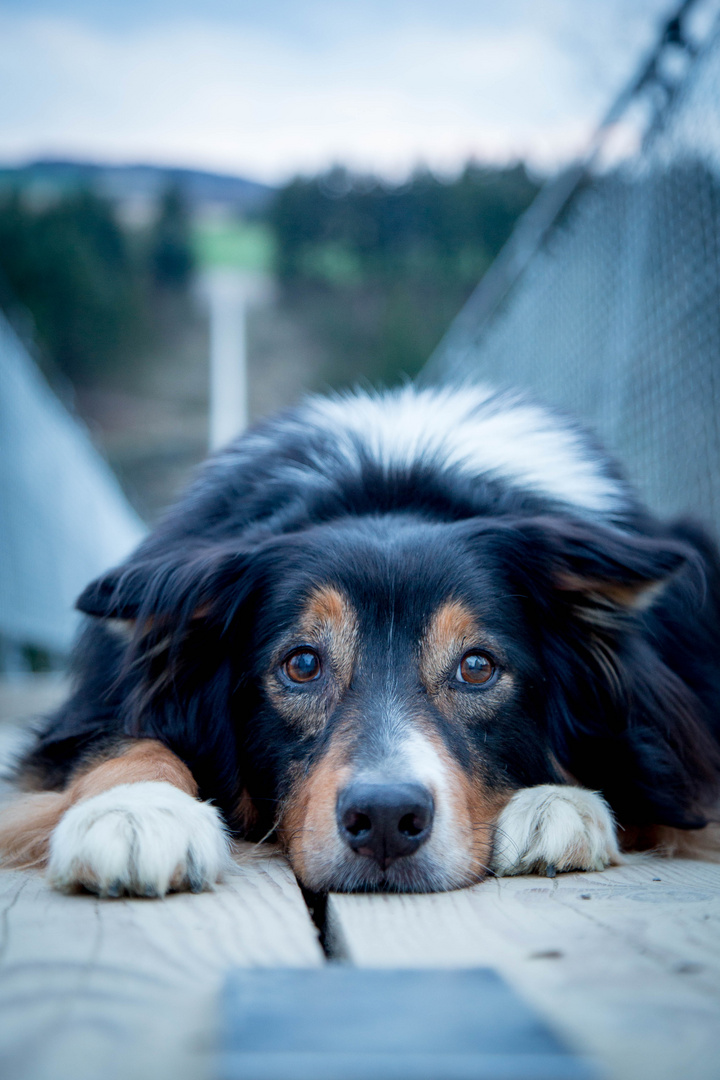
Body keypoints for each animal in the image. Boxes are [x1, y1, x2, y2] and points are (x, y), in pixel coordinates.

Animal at [1, 384, 720, 898]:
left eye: (478, 667)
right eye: (302, 664)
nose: (384, 820)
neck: (390, 488)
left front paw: (555, 806)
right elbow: (122, 743)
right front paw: (139, 813)